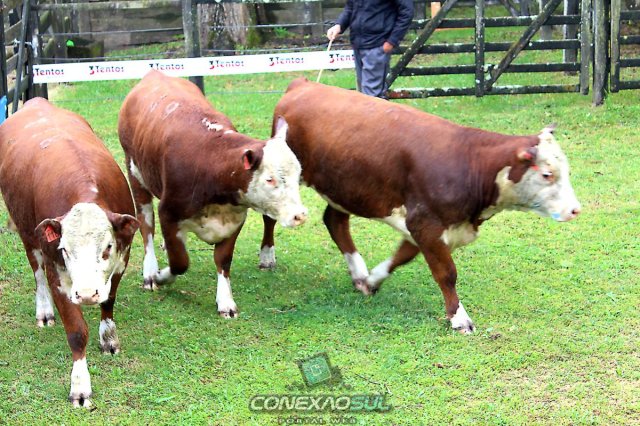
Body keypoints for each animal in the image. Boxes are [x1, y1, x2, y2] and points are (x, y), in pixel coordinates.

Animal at [0, 98, 139, 407]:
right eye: (65, 249)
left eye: (107, 246)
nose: (86, 294)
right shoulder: (58, 275)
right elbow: (76, 332)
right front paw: (80, 386)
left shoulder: (121, 261)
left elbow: (109, 300)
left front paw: (108, 337)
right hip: (28, 233)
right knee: (37, 274)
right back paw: (44, 311)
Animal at [118, 70, 307, 318]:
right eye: (270, 179)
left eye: (298, 174)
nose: (299, 215)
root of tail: (155, 74)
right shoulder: (168, 212)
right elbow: (180, 262)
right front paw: (161, 276)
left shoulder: (235, 219)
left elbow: (223, 260)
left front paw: (225, 301)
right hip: (135, 172)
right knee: (146, 224)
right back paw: (150, 271)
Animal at [261, 78, 581, 333]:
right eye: (547, 174)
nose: (575, 209)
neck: (470, 162)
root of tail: (303, 84)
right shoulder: (425, 223)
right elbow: (447, 273)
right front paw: (459, 318)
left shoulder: (420, 225)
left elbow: (402, 257)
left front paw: (372, 281)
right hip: (280, 177)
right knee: (270, 216)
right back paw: (267, 257)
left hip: (344, 186)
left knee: (335, 222)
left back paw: (358, 272)